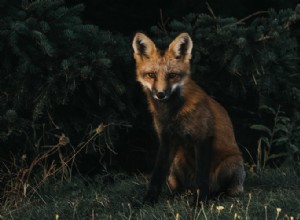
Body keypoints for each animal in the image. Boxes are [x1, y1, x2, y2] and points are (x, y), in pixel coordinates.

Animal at [132, 31, 245, 204]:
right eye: (151, 75)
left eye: (172, 75)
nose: (160, 94)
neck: (172, 114)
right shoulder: (166, 140)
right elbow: (157, 174)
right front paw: (149, 200)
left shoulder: (203, 137)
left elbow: (202, 177)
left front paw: (200, 203)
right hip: (176, 163)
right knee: (180, 187)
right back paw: (179, 195)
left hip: (231, 163)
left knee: (228, 190)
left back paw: (215, 196)